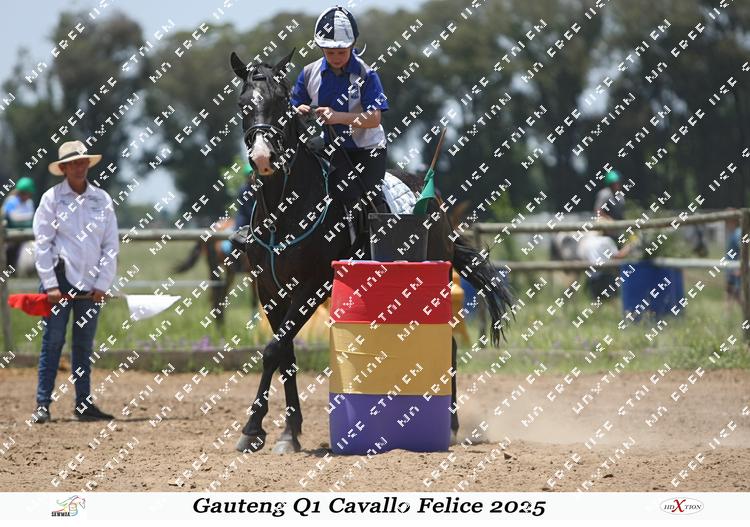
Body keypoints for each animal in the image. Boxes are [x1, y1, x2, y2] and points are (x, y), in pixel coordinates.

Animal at [228, 49, 513, 454]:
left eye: (282, 102)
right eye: (243, 104)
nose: (264, 157)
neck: (287, 208)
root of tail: (437, 203)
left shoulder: (311, 286)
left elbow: (273, 351)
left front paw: (255, 429)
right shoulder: (269, 291)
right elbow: (284, 354)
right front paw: (286, 431)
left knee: (450, 348)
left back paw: (451, 425)